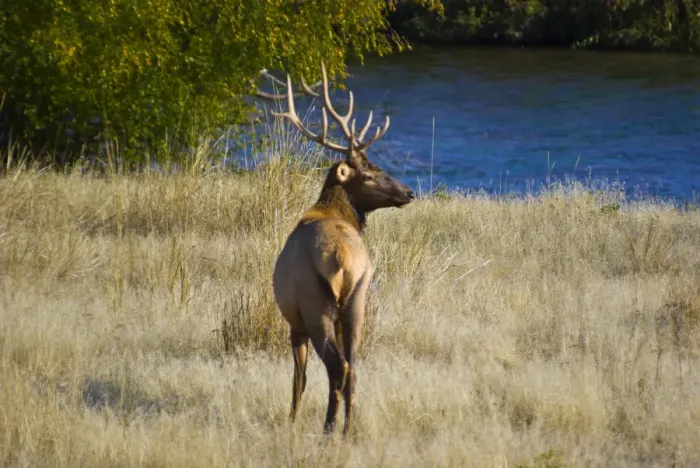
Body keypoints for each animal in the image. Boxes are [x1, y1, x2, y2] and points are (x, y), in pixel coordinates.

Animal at [256, 63, 415, 435]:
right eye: (370, 174)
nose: (409, 192)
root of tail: (343, 259)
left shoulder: (294, 323)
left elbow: (298, 378)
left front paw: (292, 419)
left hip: (316, 305)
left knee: (336, 367)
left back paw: (329, 430)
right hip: (358, 299)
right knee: (353, 366)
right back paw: (347, 429)